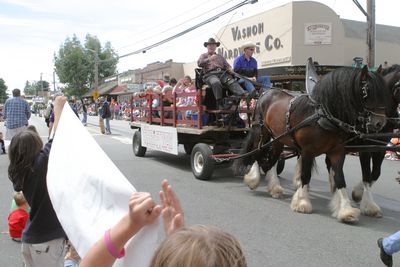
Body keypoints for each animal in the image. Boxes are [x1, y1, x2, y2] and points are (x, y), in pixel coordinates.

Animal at [236, 67, 392, 224]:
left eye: (385, 93)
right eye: (366, 91)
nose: (380, 123)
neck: (324, 116)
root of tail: (265, 92)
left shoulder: (337, 151)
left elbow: (340, 178)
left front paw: (346, 210)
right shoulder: (308, 151)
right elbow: (306, 175)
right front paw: (302, 202)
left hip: (279, 139)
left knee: (272, 160)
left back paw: (275, 188)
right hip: (261, 132)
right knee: (257, 152)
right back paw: (253, 179)